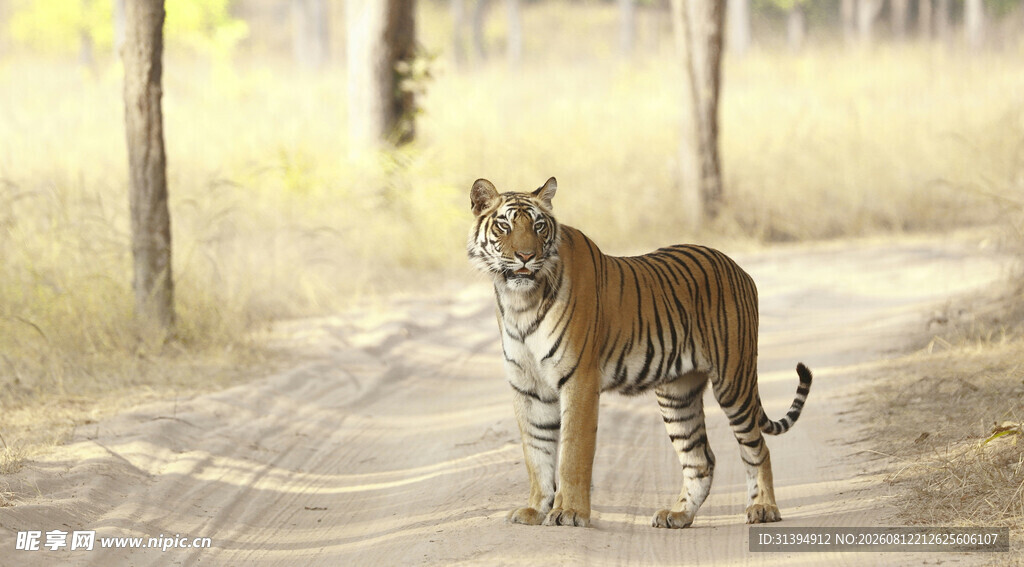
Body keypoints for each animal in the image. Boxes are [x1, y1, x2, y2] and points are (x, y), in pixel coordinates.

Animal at [466, 176, 813, 529]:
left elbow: (572, 452)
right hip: (678, 394)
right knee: (700, 459)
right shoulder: (528, 387)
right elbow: (536, 453)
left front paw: (570, 512)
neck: (520, 303)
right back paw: (678, 514)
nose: (526, 256)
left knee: (757, 448)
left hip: (733, 381)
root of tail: (736, 266)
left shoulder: (579, 380)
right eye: (505, 225)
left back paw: (763, 508)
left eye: (538, 226)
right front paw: (535, 510)